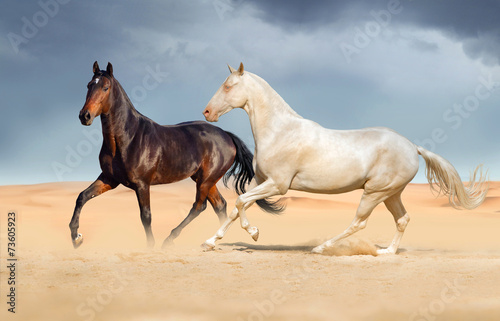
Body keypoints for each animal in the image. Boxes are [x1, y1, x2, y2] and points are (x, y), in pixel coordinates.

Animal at [68, 61, 280, 249]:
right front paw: (76, 237)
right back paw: (216, 240)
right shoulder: (109, 179)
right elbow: (82, 197)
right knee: (219, 205)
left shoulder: (142, 184)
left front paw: (151, 245)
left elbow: (146, 216)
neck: (127, 138)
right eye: (89, 85)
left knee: (199, 206)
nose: (84, 116)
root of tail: (226, 135)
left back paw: (171, 239)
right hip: (205, 180)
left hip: (206, 180)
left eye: (105, 87)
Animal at [200, 62, 488, 252]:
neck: (280, 131)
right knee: (402, 219)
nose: (207, 112)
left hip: (374, 193)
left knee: (358, 223)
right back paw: (387, 252)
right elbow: (238, 206)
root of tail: (413, 147)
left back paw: (322, 247)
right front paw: (210, 242)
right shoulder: (263, 182)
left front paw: (254, 234)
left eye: (228, 86)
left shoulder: (278, 185)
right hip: (391, 194)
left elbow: (240, 202)